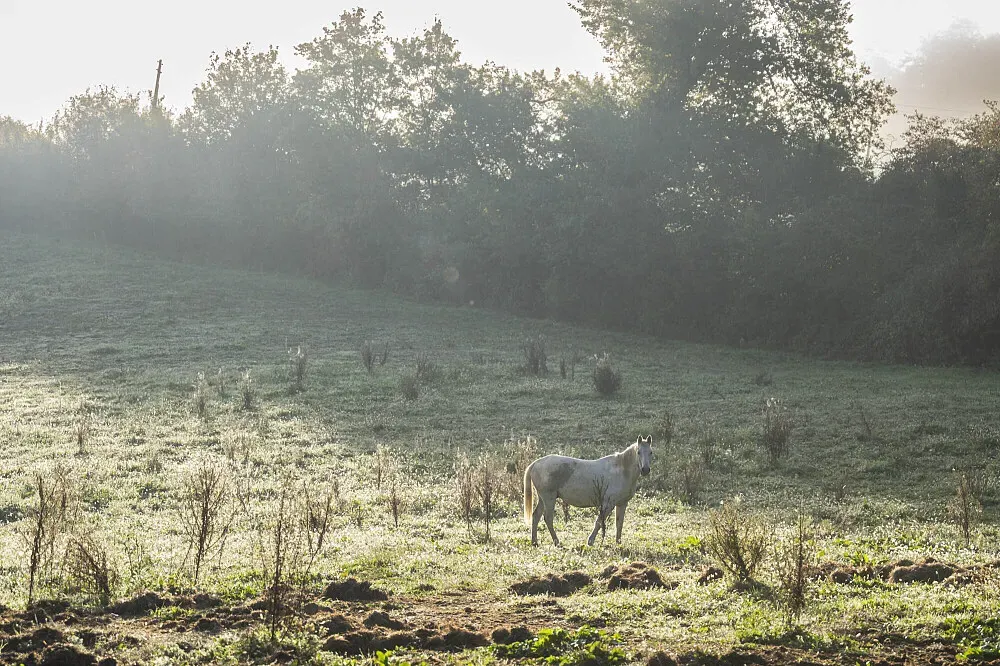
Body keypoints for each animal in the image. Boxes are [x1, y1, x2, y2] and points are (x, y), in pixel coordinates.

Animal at [523, 436, 653, 547]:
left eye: (650, 452)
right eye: (638, 452)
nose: (645, 470)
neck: (622, 471)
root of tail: (535, 464)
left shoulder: (622, 504)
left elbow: (619, 524)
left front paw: (618, 543)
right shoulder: (608, 504)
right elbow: (599, 522)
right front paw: (590, 541)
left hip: (542, 499)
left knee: (536, 516)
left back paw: (534, 542)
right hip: (549, 498)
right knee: (548, 519)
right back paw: (557, 542)